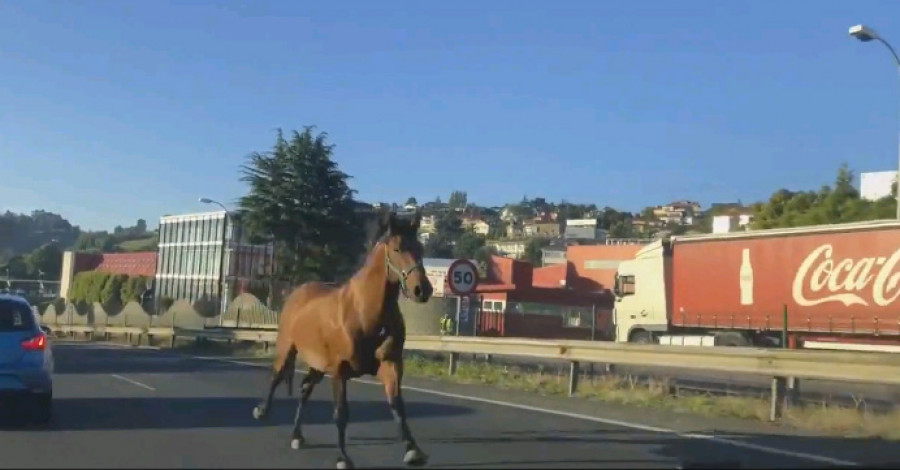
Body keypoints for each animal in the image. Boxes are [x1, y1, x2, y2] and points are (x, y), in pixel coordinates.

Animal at [251, 210, 434, 470]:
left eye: (420, 248)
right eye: (397, 249)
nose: (422, 290)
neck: (364, 312)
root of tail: (297, 293)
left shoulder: (391, 364)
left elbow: (397, 405)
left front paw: (413, 451)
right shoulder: (339, 371)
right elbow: (341, 413)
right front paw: (343, 458)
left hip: (318, 364)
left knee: (305, 389)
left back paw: (297, 436)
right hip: (287, 348)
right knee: (276, 377)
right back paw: (262, 411)